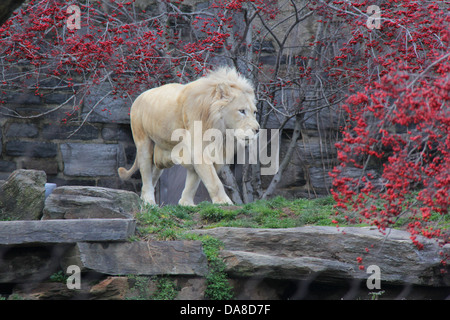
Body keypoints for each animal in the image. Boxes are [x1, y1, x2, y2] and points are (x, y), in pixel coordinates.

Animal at [118, 69, 258, 206]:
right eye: (242, 111)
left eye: (254, 112)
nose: (257, 130)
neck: (221, 131)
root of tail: (140, 96)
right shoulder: (199, 149)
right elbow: (213, 180)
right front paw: (224, 202)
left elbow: (193, 181)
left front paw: (186, 203)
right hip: (143, 142)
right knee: (146, 172)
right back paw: (149, 200)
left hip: (159, 154)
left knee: (154, 174)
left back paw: (143, 200)